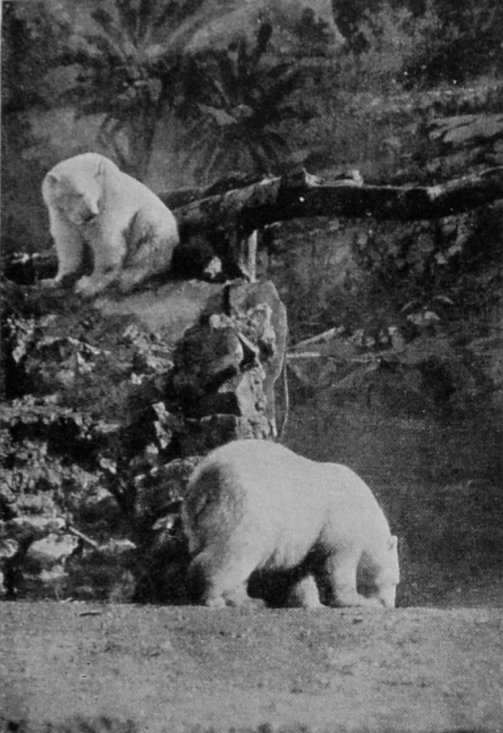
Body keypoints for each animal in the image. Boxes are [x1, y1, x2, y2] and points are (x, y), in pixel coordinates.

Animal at [41, 152, 179, 297]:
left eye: (92, 192)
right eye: (79, 193)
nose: (90, 213)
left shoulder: (109, 204)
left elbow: (106, 242)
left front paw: (87, 285)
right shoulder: (62, 216)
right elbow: (69, 244)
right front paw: (53, 280)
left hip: (155, 223)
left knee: (148, 242)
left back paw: (130, 275)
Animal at [182, 439, 399, 609]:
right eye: (395, 582)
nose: (390, 604)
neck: (366, 514)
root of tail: (203, 477)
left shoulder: (306, 539)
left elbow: (298, 571)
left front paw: (311, 603)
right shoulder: (340, 527)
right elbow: (338, 565)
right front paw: (361, 601)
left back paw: (249, 601)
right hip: (245, 506)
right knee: (236, 550)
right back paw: (214, 597)